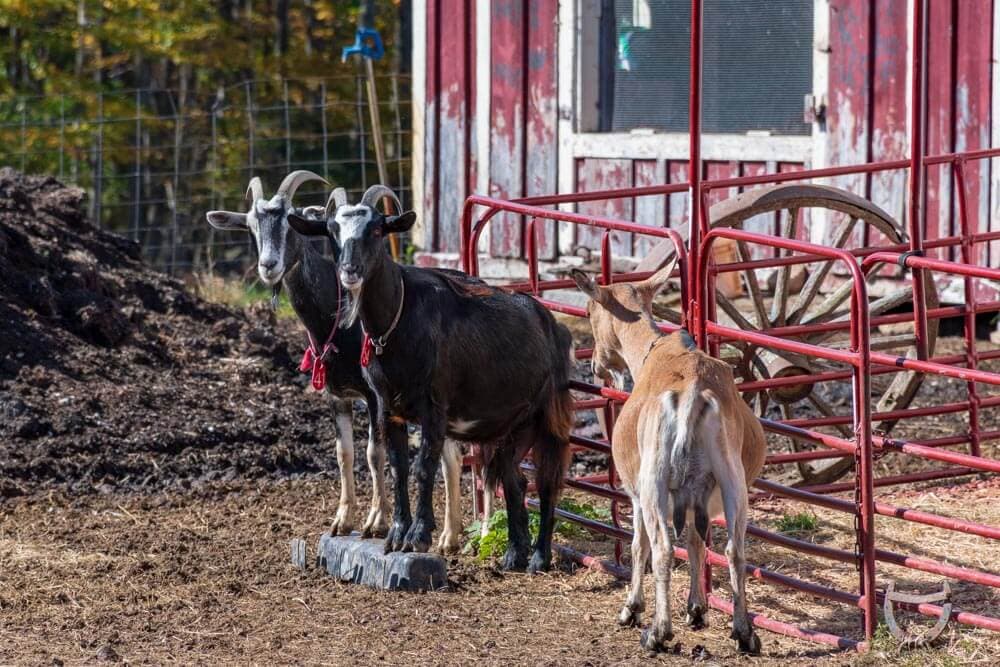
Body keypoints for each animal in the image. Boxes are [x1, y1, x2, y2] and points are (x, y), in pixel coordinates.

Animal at [204, 172, 466, 551]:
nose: (268, 266)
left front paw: (376, 522)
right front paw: (342, 520)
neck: (336, 321)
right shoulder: (336, 394)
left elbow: (374, 453)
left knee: (452, 457)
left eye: (291, 224)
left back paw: (450, 536)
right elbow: (345, 454)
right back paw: (450, 535)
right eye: (251, 226)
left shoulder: (375, 397)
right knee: (448, 454)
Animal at [288, 185, 573, 572]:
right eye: (332, 231)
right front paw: (396, 534)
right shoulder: (387, 408)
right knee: (515, 479)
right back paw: (514, 554)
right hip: (513, 427)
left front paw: (418, 535)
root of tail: (553, 325)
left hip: (547, 418)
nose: (350, 270)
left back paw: (539, 557)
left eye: (376, 229)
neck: (397, 323)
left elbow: (424, 468)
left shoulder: (434, 408)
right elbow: (398, 467)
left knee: (546, 483)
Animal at [570, 261, 765, 654]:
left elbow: (638, 544)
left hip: (653, 482)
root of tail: (693, 393)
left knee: (660, 547)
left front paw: (631, 609)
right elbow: (696, 542)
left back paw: (658, 632)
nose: (596, 364)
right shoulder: (695, 499)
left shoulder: (635, 491)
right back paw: (744, 632)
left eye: (589, 311)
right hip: (733, 481)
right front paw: (697, 609)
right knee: (735, 550)